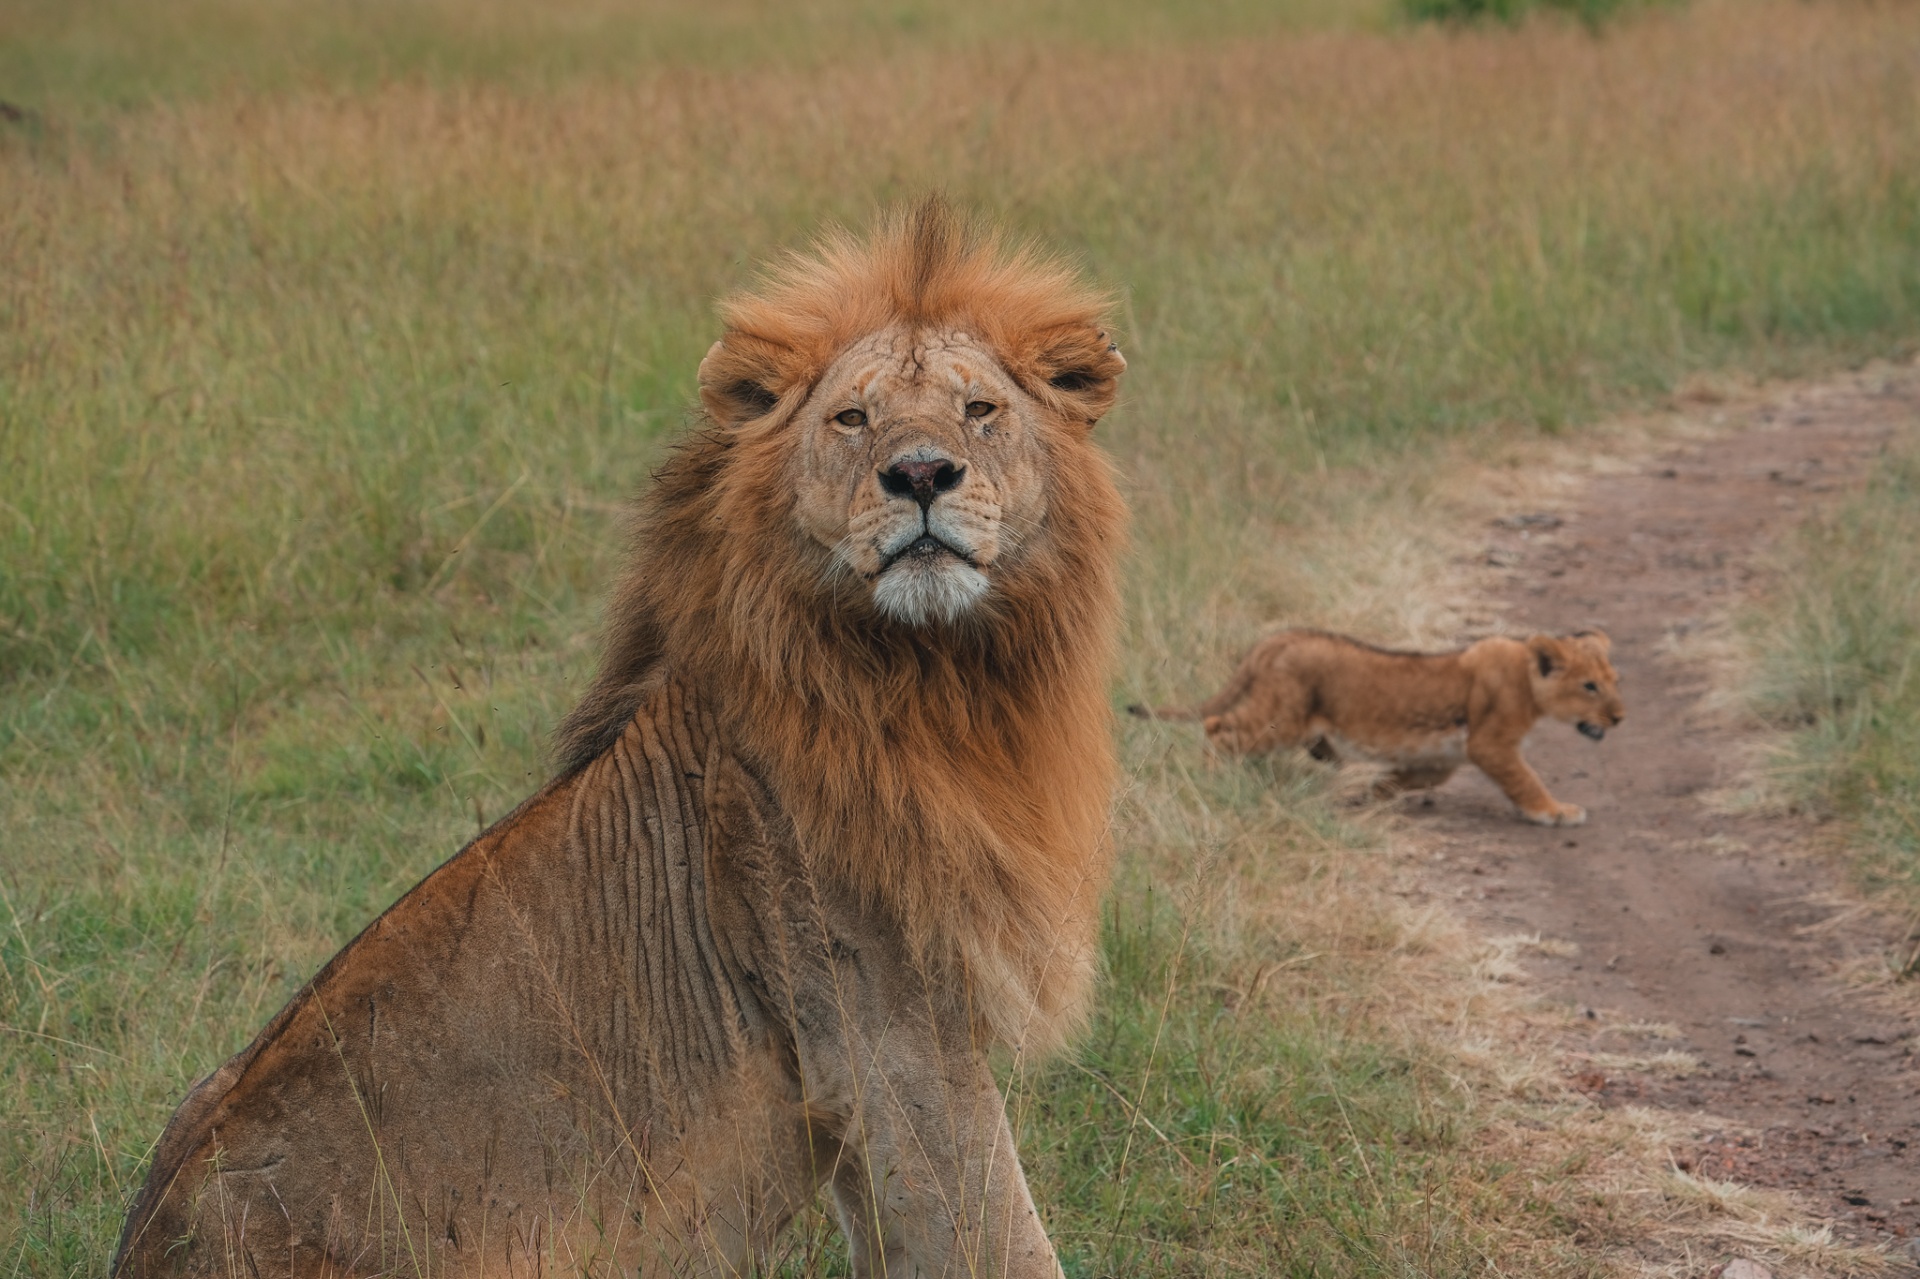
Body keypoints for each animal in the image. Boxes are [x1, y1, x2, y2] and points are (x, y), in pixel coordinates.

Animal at [113, 201, 1128, 1279]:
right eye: (852, 420)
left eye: (980, 410)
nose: (922, 472)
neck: (939, 682)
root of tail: (149, 1243)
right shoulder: (883, 1023)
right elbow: (1001, 1232)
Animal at [1131, 629, 1623, 826]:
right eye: (1590, 686)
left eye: (1614, 681)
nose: (1619, 717)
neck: (1525, 676)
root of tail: (1281, 638)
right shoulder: (1491, 744)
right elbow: (1526, 780)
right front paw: (1556, 812)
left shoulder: (1443, 757)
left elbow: (1409, 779)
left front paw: (1369, 796)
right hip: (1280, 720)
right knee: (1218, 727)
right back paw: (1213, 779)